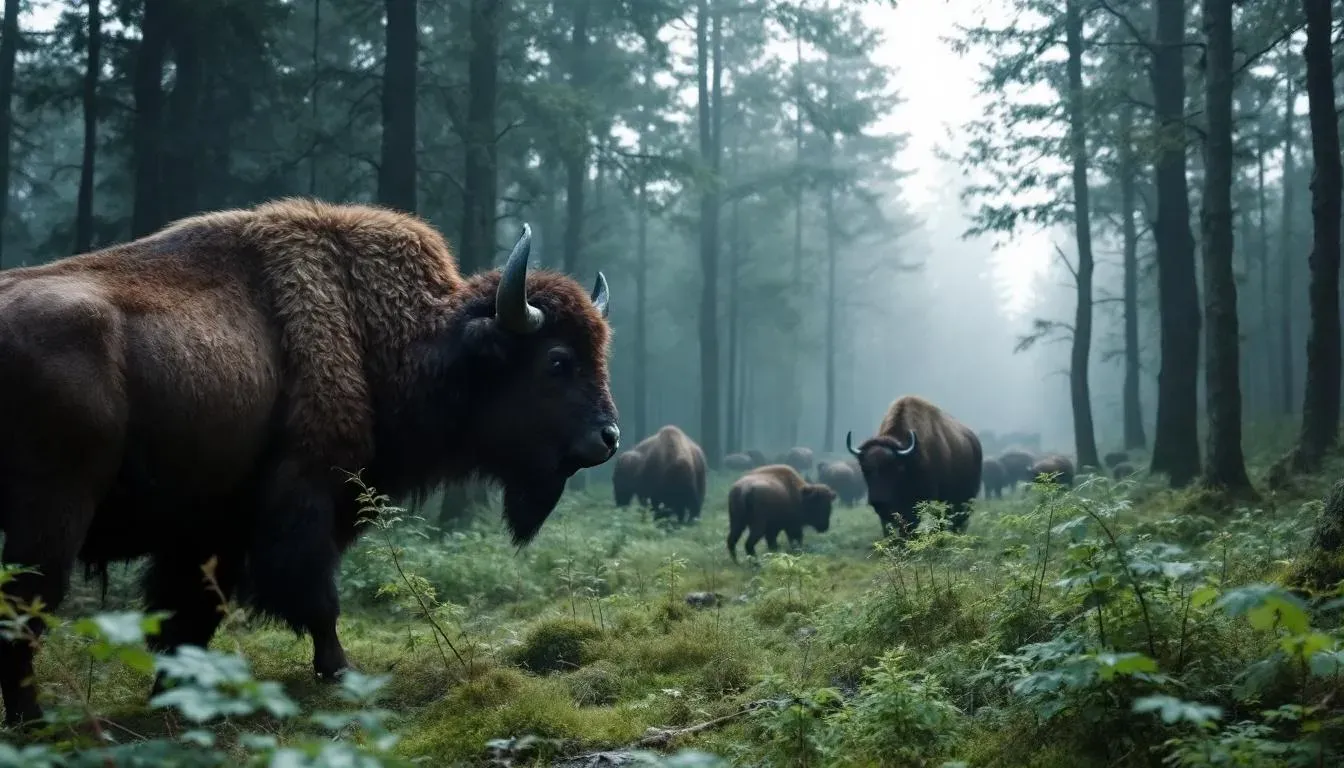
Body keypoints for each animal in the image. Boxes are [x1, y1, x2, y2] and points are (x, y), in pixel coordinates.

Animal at [0, 199, 620, 726]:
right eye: (556, 361)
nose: (609, 437)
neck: (379, 335)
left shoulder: (209, 530)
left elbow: (189, 615)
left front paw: (176, 695)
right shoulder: (306, 498)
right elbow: (317, 598)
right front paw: (341, 673)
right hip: (53, 514)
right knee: (27, 608)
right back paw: (34, 720)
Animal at [847, 395, 983, 537]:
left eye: (892, 469)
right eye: (864, 468)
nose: (878, 501)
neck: (907, 459)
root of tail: (975, 442)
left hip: (966, 498)